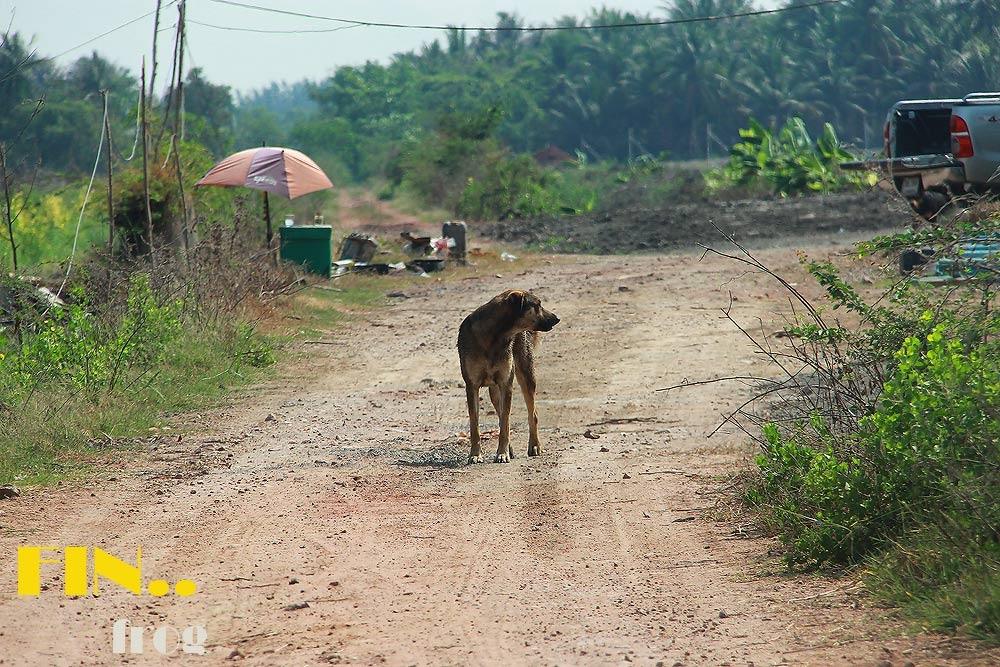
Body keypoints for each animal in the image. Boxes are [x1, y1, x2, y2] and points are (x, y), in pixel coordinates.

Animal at [458, 288, 560, 464]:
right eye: (537, 305)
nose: (557, 318)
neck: (494, 336)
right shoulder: (472, 386)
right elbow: (475, 424)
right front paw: (475, 454)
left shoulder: (506, 384)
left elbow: (505, 423)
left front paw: (502, 453)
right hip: (495, 391)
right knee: (500, 414)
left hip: (526, 376)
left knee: (532, 414)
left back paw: (534, 446)